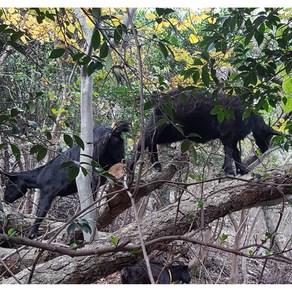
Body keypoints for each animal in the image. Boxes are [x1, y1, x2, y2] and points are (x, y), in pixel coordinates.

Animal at [132, 89, 280, 175]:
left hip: (173, 132)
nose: (265, 148)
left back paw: (156, 165)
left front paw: (242, 170)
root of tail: (159, 100)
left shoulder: (233, 137)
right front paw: (229, 170)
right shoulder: (227, 132)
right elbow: (229, 150)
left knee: (152, 140)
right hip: (161, 122)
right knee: (143, 139)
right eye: (268, 135)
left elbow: (236, 152)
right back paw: (130, 167)